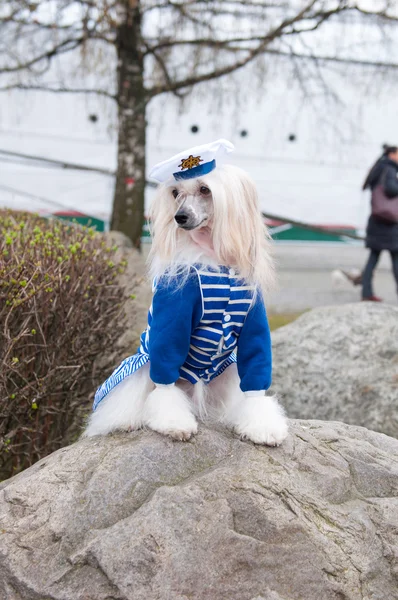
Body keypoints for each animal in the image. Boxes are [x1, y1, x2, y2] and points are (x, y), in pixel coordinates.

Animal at [84, 142, 290, 446]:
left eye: (205, 189)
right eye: (175, 193)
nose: (179, 217)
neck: (214, 258)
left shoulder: (254, 324)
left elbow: (255, 379)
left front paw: (262, 426)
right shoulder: (173, 321)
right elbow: (165, 383)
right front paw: (174, 423)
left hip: (226, 372)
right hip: (144, 366)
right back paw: (127, 421)